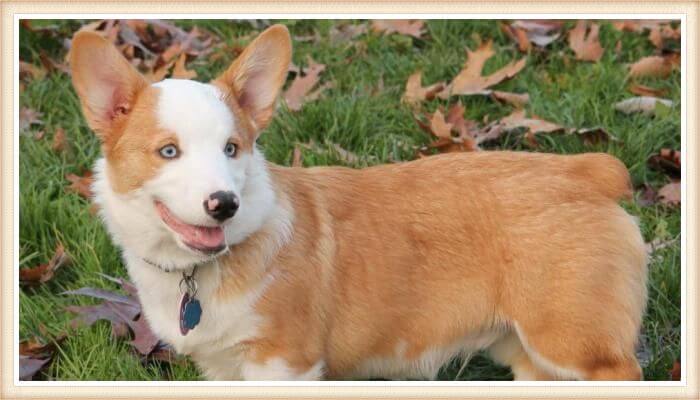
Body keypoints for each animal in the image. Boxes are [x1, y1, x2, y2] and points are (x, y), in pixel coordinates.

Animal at [68, 23, 648, 380]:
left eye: (232, 148)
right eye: (168, 151)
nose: (223, 204)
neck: (199, 272)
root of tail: (588, 171)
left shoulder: (285, 363)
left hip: (573, 344)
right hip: (527, 353)